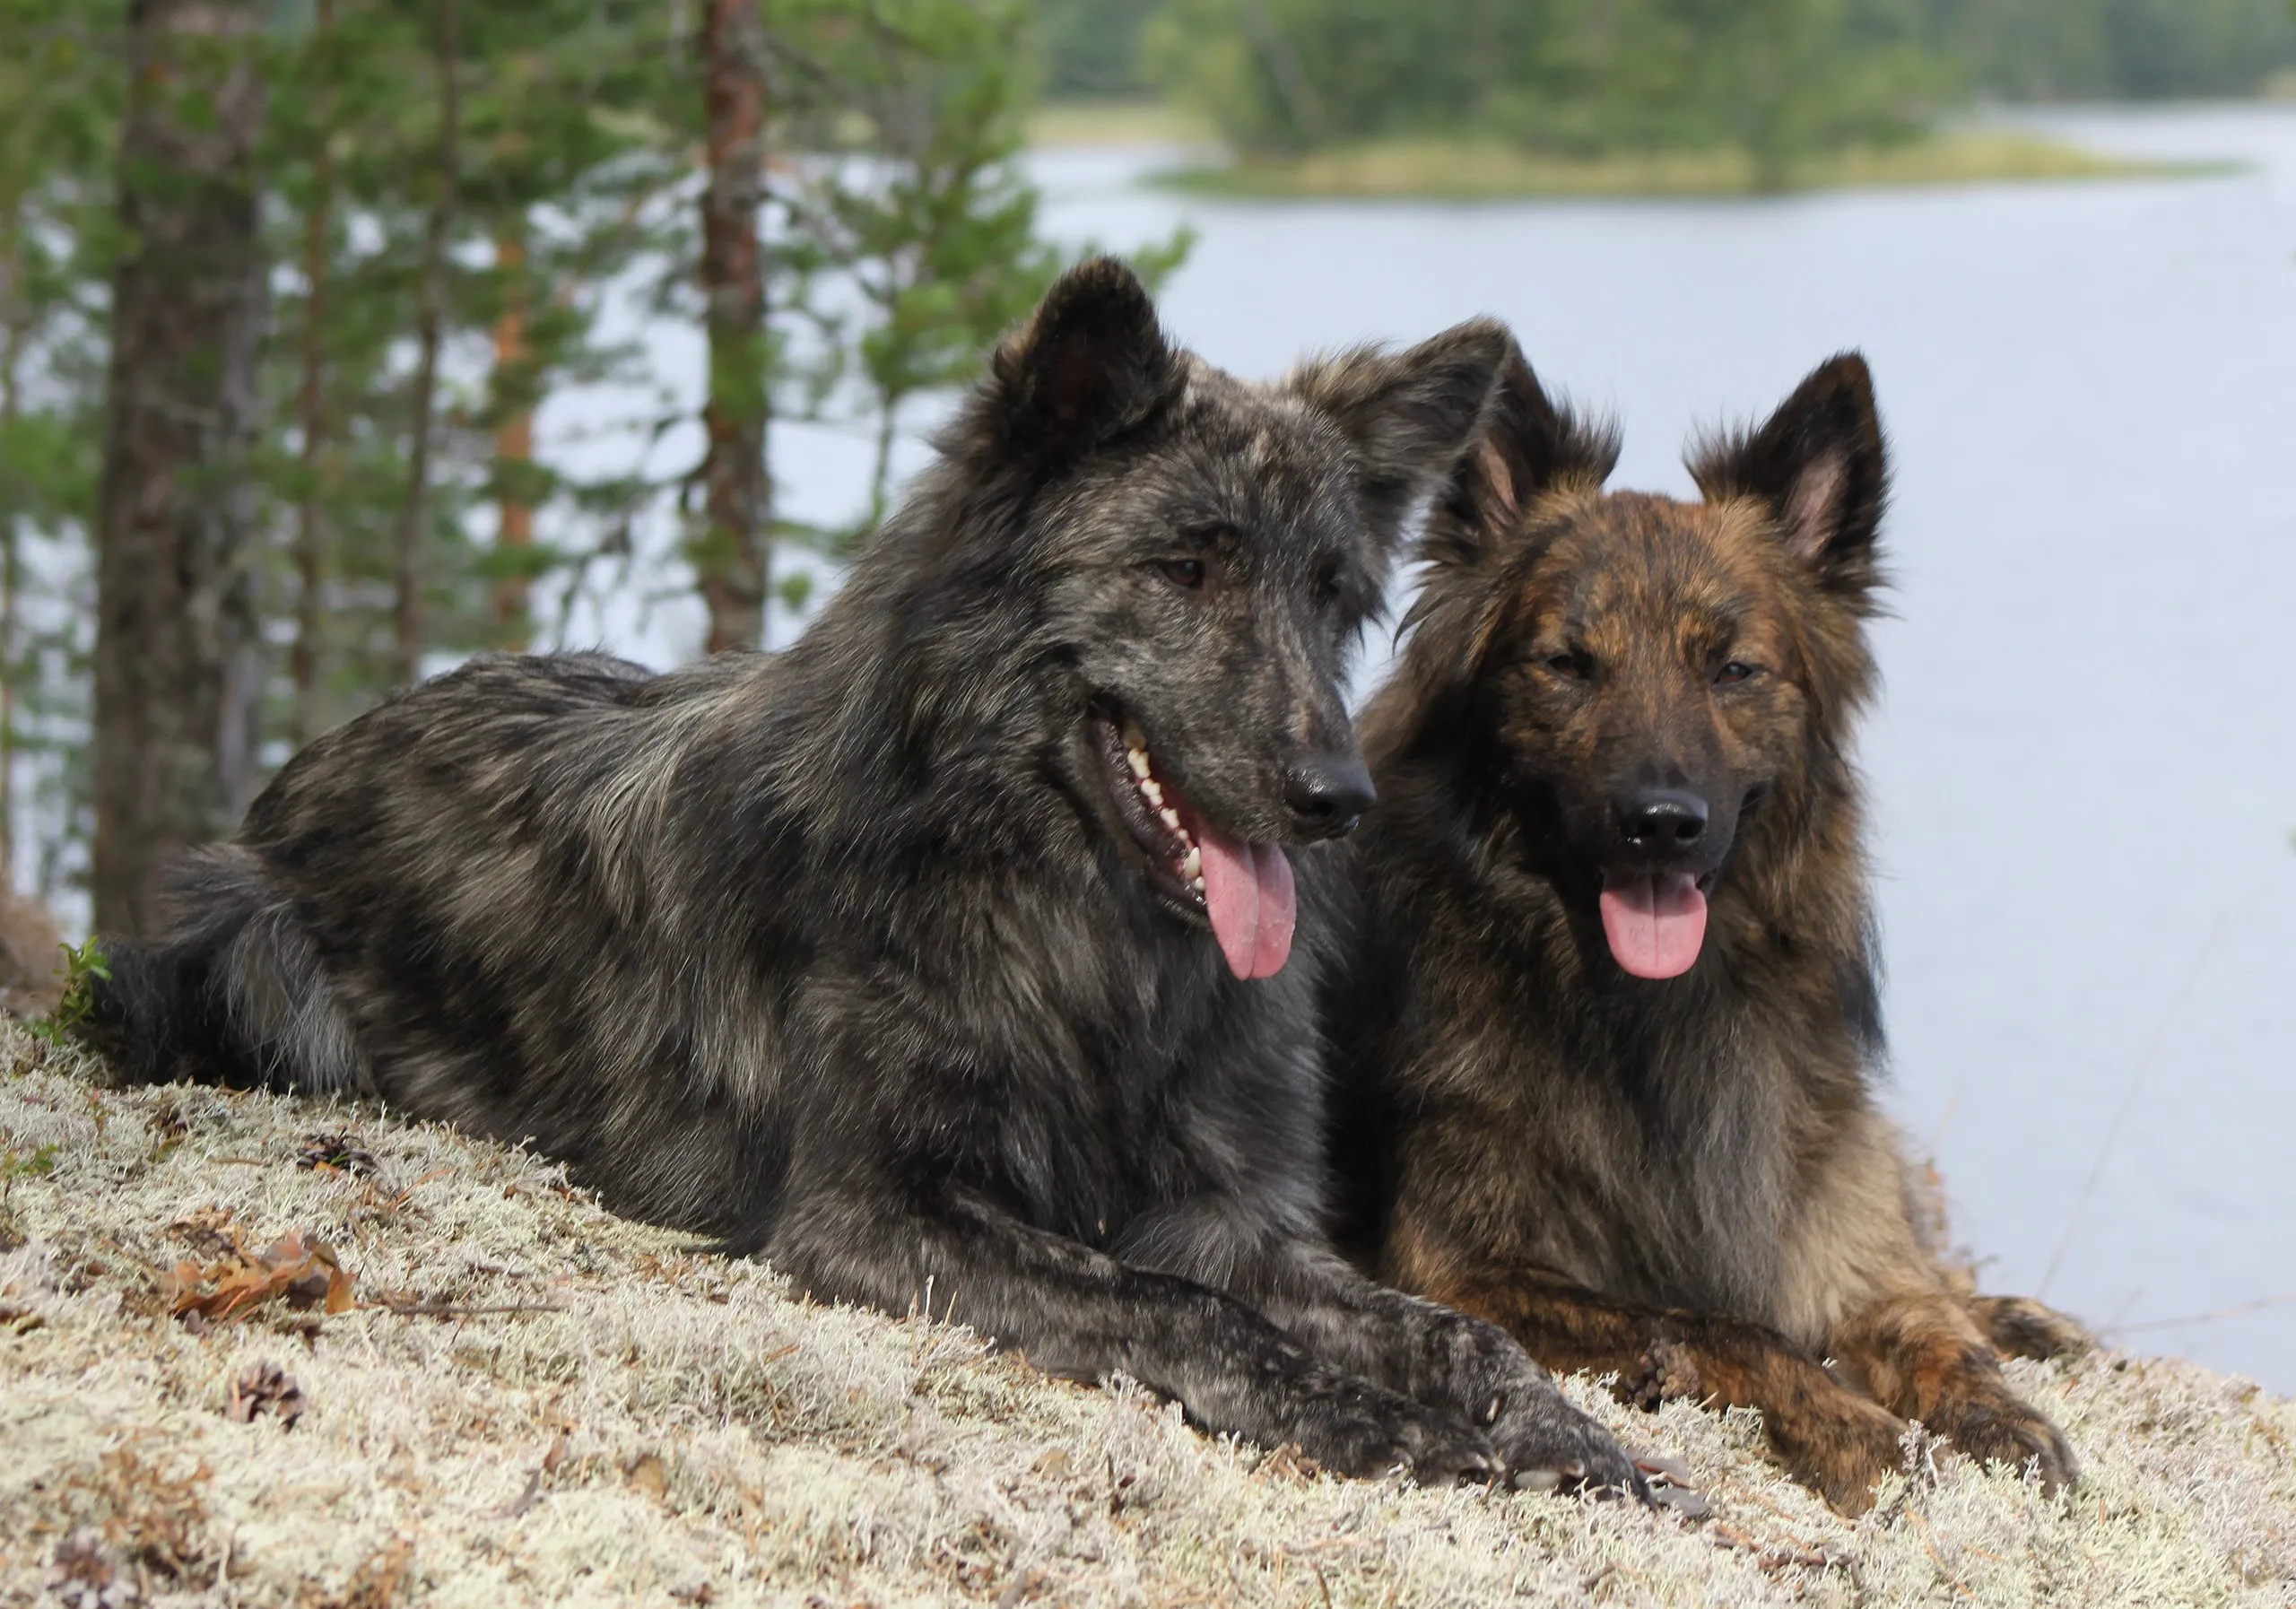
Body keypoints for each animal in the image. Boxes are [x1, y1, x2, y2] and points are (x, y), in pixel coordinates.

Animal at [89, 257, 1634, 1487]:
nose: (1336, 799)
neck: (1066, 929)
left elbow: (1463, 1332)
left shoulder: (1235, 1215)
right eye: (1189, 567)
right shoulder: (876, 1212)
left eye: (1330, 593)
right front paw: (1380, 1425)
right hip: (256, 949)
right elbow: (1177, 1307)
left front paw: (1571, 1436)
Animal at [1322, 344, 2093, 1515]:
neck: (1650, 1012)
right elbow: (1712, 1323)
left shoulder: (1825, 1215)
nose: (1661, 823)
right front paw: (1855, 1431)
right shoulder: (1460, 1270)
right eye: (1568, 664)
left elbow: (1921, 1319)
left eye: (1733, 669)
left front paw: (1999, 1413)